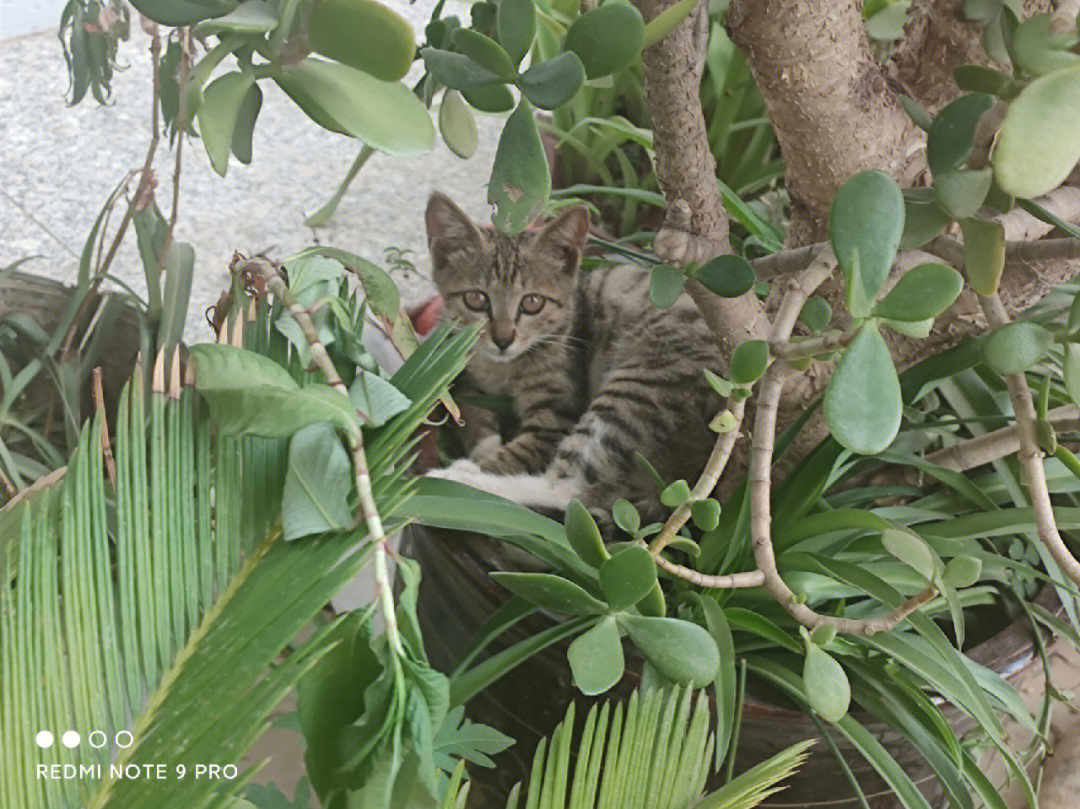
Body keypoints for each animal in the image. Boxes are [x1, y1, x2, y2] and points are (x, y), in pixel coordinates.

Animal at [425, 191, 721, 518]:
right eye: (476, 299)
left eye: (532, 303)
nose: (503, 340)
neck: (503, 368)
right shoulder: (462, 373)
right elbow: (469, 411)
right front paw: (485, 445)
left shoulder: (556, 417)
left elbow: (521, 451)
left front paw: (482, 466)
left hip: (643, 384)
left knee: (568, 490)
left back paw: (456, 481)